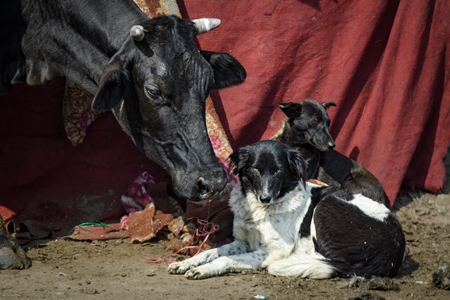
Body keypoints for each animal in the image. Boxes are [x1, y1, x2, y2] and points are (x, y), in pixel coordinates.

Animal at [167, 142, 406, 280]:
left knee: (330, 260)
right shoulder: (242, 241)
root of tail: (394, 252)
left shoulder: (274, 251)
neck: (258, 210)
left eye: (278, 171)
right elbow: (211, 252)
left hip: (326, 205)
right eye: (255, 169)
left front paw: (204, 269)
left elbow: (224, 259)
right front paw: (185, 263)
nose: (265, 197)